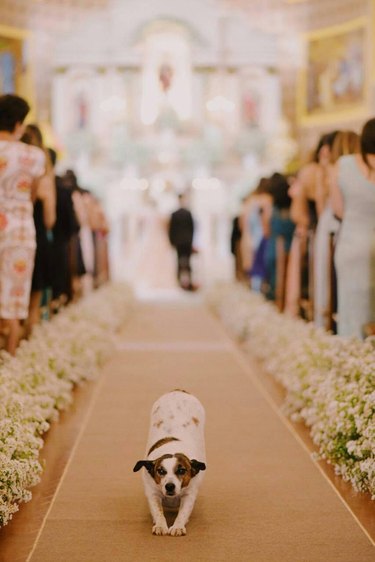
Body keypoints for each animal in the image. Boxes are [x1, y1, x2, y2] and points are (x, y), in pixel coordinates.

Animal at [134, 388, 207, 536]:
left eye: (182, 470)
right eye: (160, 471)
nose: (169, 486)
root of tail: (178, 390)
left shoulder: (189, 495)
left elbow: (183, 512)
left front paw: (178, 526)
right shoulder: (152, 493)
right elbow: (158, 511)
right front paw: (160, 525)